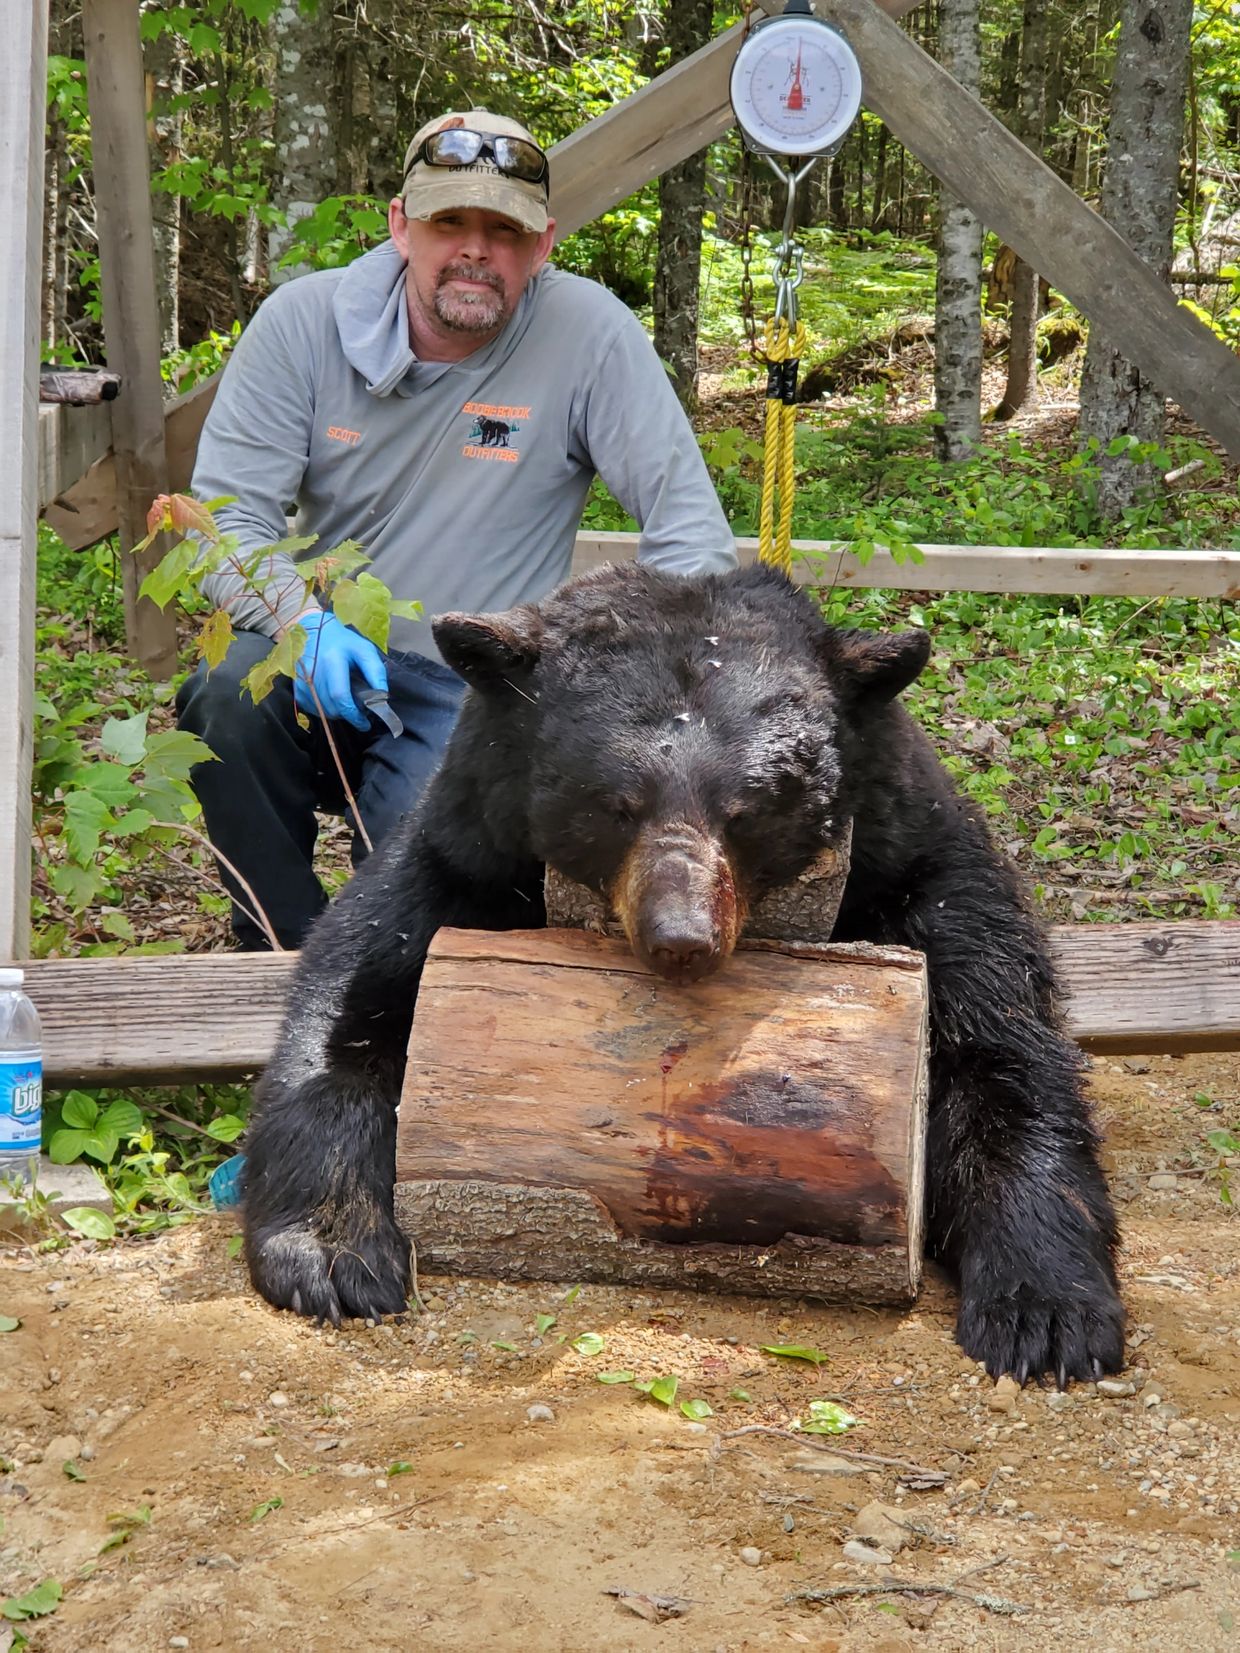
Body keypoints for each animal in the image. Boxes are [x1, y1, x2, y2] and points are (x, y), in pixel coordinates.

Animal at [243, 561, 1125, 1386]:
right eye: (613, 803)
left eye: (751, 809)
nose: (682, 936)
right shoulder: (458, 863)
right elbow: (346, 1015)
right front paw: (331, 1254)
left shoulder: (922, 877)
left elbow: (1002, 1052)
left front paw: (1046, 1313)